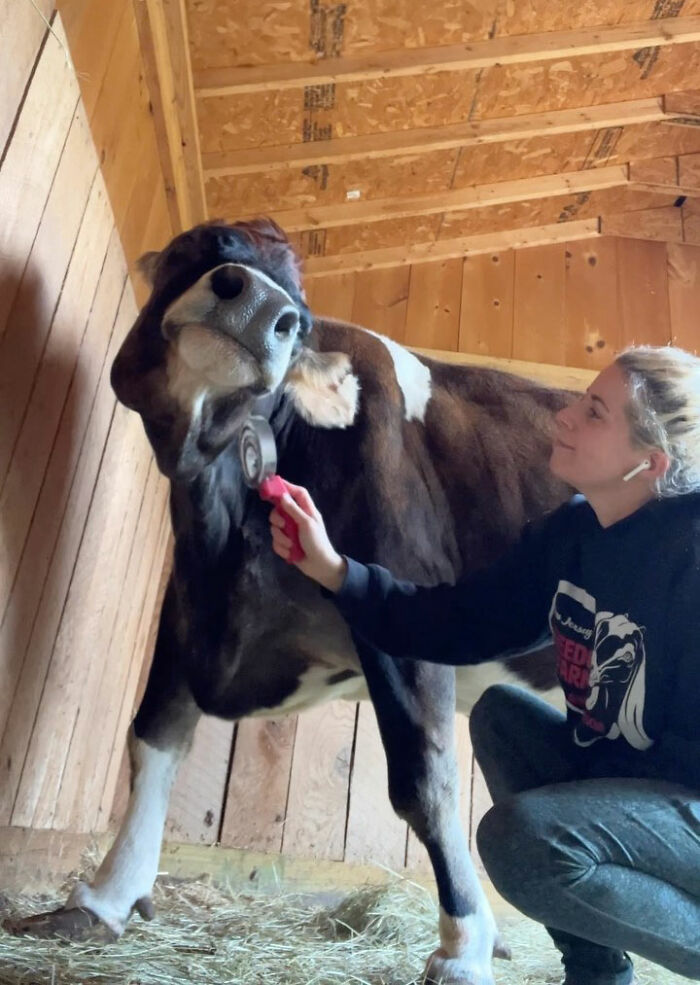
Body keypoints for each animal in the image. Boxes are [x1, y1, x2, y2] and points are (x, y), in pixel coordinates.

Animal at [12, 221, 576, 984]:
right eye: (200, 243)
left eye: (301, 318)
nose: (261, 306)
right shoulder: (189, 604)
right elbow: (152, 737)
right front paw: (103, 899)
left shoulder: (408, 611)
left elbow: (425, 786)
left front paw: (465, 948)